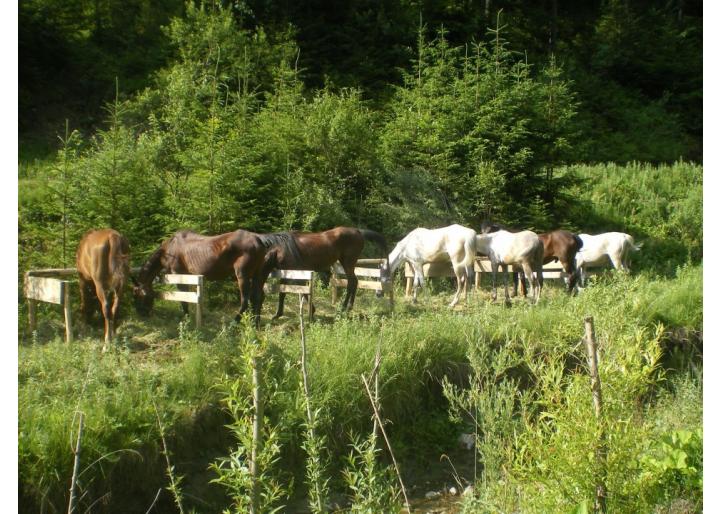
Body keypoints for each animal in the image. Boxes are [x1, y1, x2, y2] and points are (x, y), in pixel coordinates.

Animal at [134, 229, 286, 324]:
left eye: (137, 295)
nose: (141, 313)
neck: (169, 249)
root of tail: (259, 239)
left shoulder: (179, 275)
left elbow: (184, 299)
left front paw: (186, 318)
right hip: (258, 275)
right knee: (258, 297)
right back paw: (256, 322)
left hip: (242, 276)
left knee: (245, 300)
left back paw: (234, 322)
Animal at [262, 225, 390, 316]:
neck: (282, 248)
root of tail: (358, 231)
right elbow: (283, 292)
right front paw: (278, 314)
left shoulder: (296, 274)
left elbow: (300, 291)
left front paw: (312, 310)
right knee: (354, 282)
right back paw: (348, 307)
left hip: (348, 263)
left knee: (352, 282)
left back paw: (344, 307)